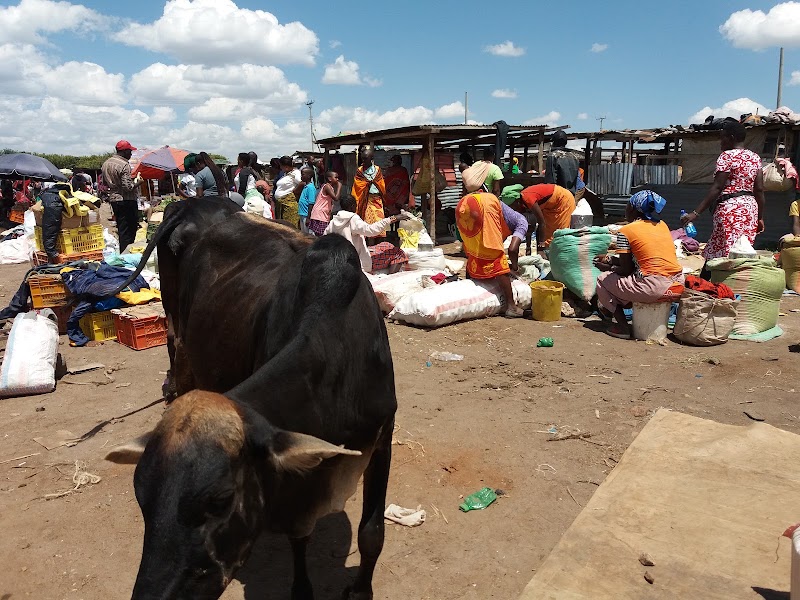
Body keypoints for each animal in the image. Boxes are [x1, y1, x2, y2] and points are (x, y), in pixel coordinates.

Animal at [108, 217, 396, 600]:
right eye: (142, 496)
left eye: (221, 500)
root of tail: (186, 207)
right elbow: (299, 537)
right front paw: (302, 591)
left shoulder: (382, 439)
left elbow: (371, 533)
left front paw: (361, 591)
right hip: (173, 315)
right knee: (173, 343)